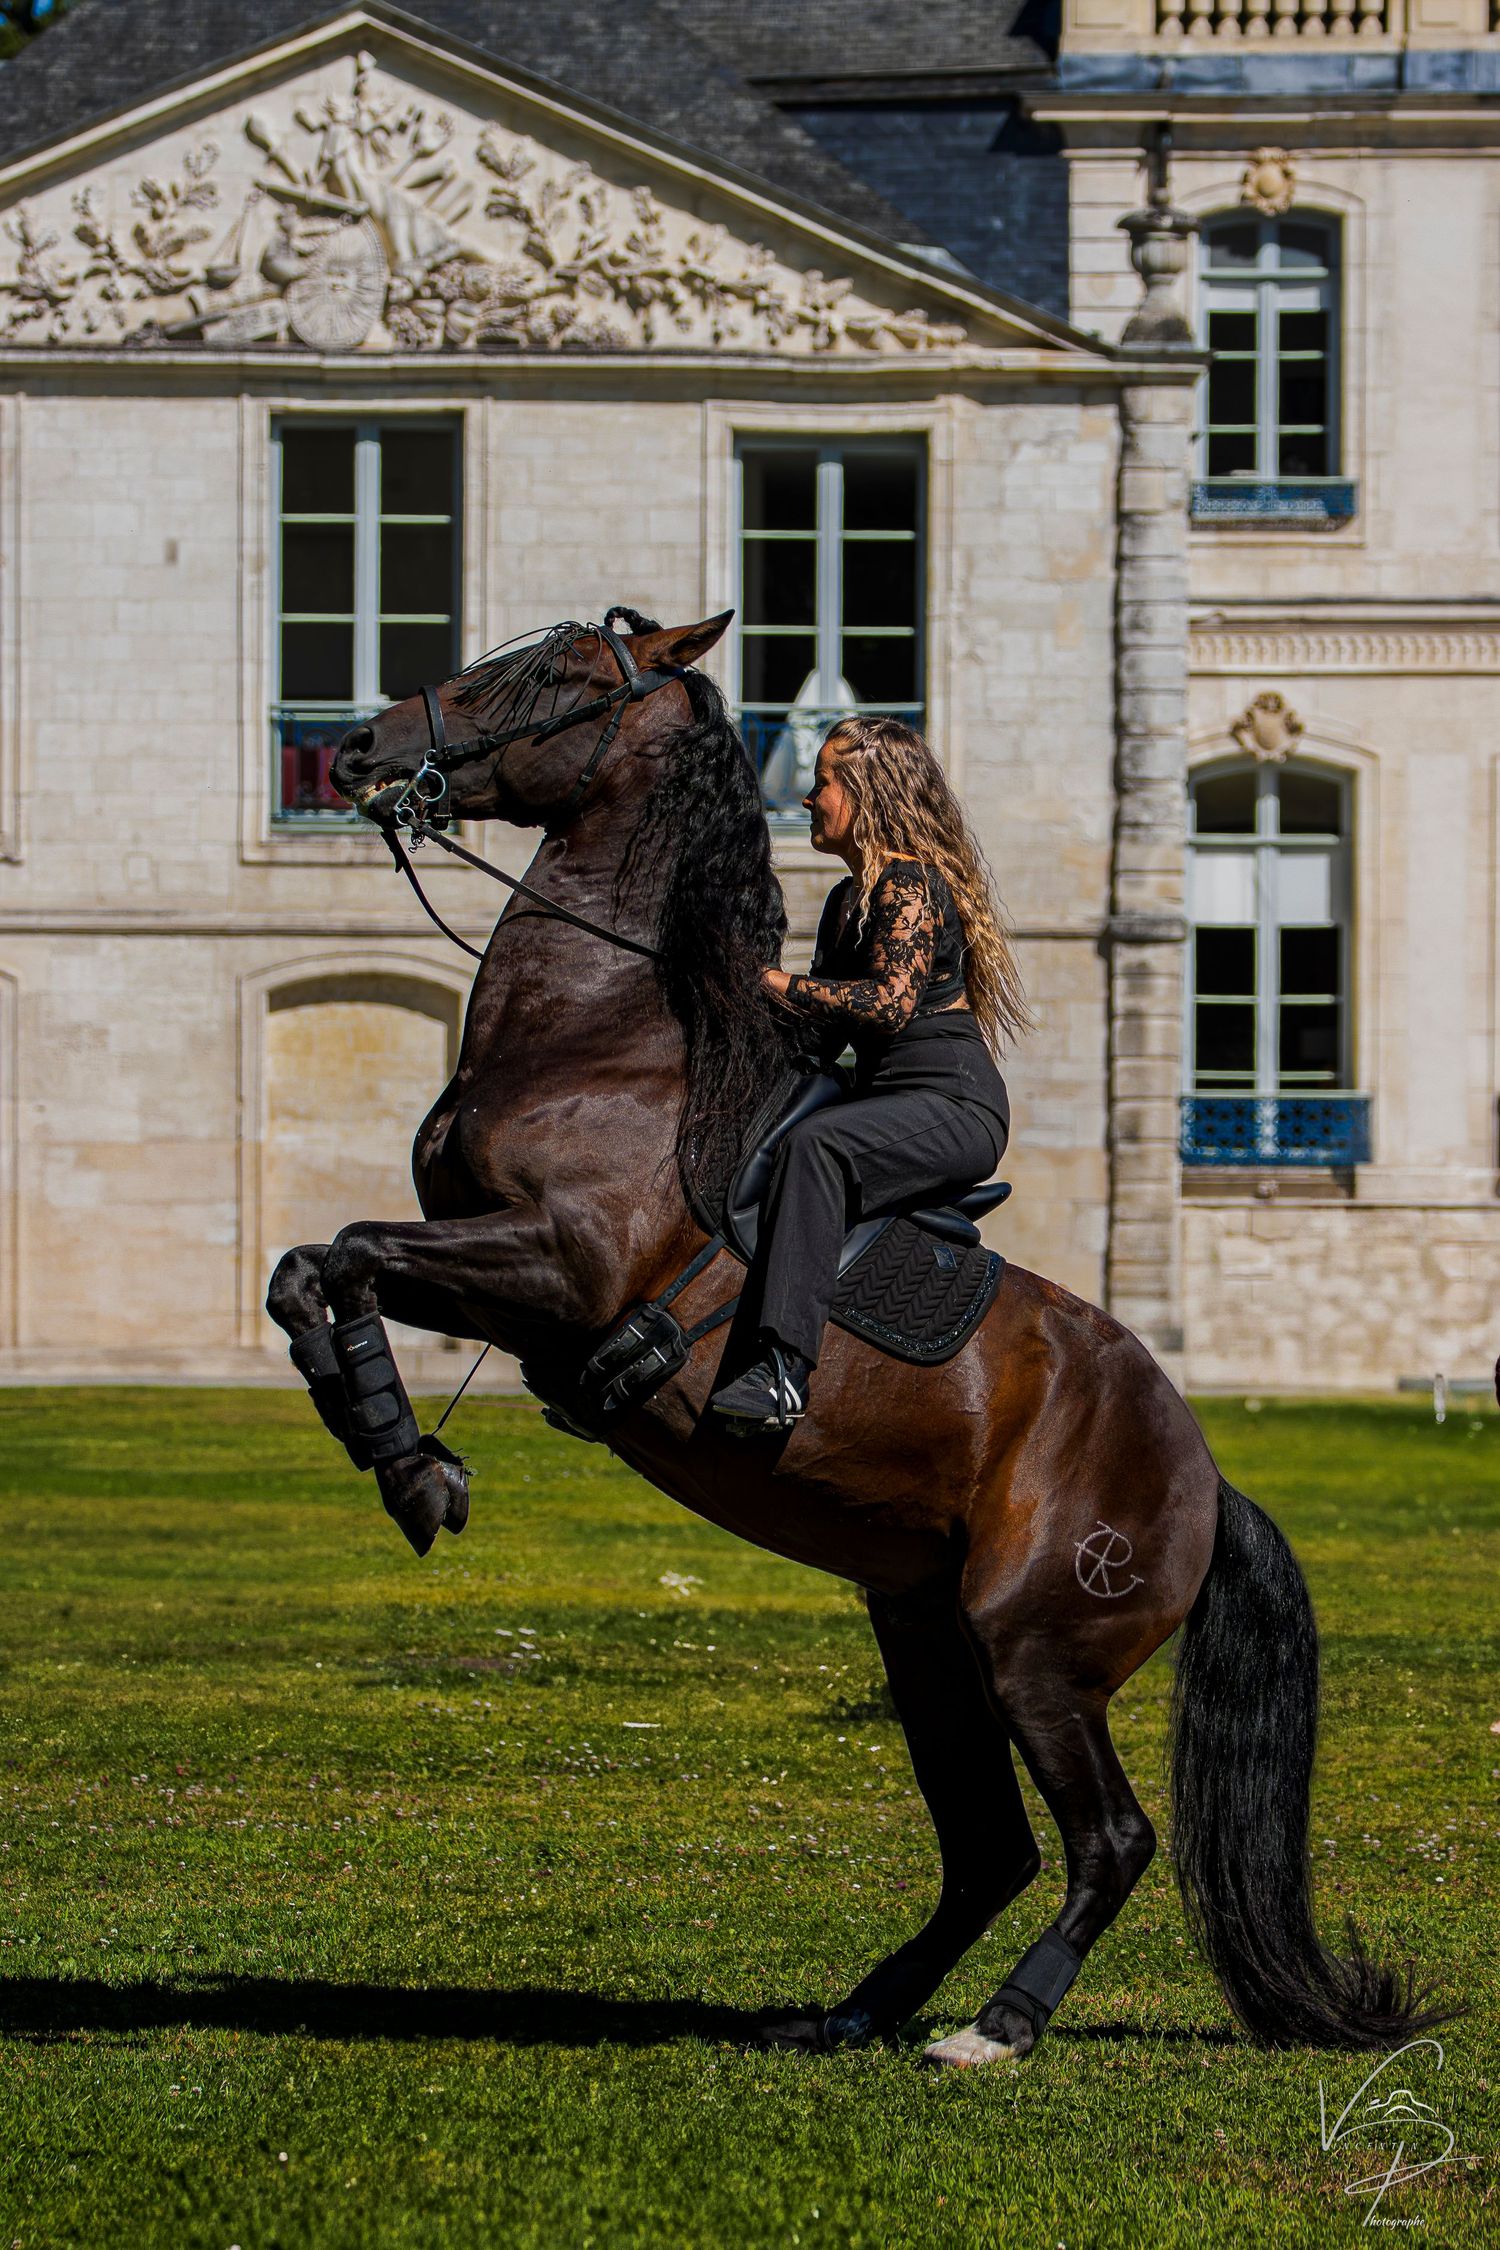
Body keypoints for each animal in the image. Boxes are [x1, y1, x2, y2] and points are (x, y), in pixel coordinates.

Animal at [266, 607, 1439, 2066]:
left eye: (548, 679)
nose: (358, 751)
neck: (611, 1034)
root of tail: (1206, 1483)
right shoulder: (484, 1270)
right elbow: (311, 1273)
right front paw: (406, 1455)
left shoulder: (551, 1263)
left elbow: (345, 1255)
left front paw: (416, 1468)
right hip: (926, 1637)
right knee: (991, 1849)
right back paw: (863, 2006)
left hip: (1033, 1651)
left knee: (1107, 1840)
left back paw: (995, 2027)